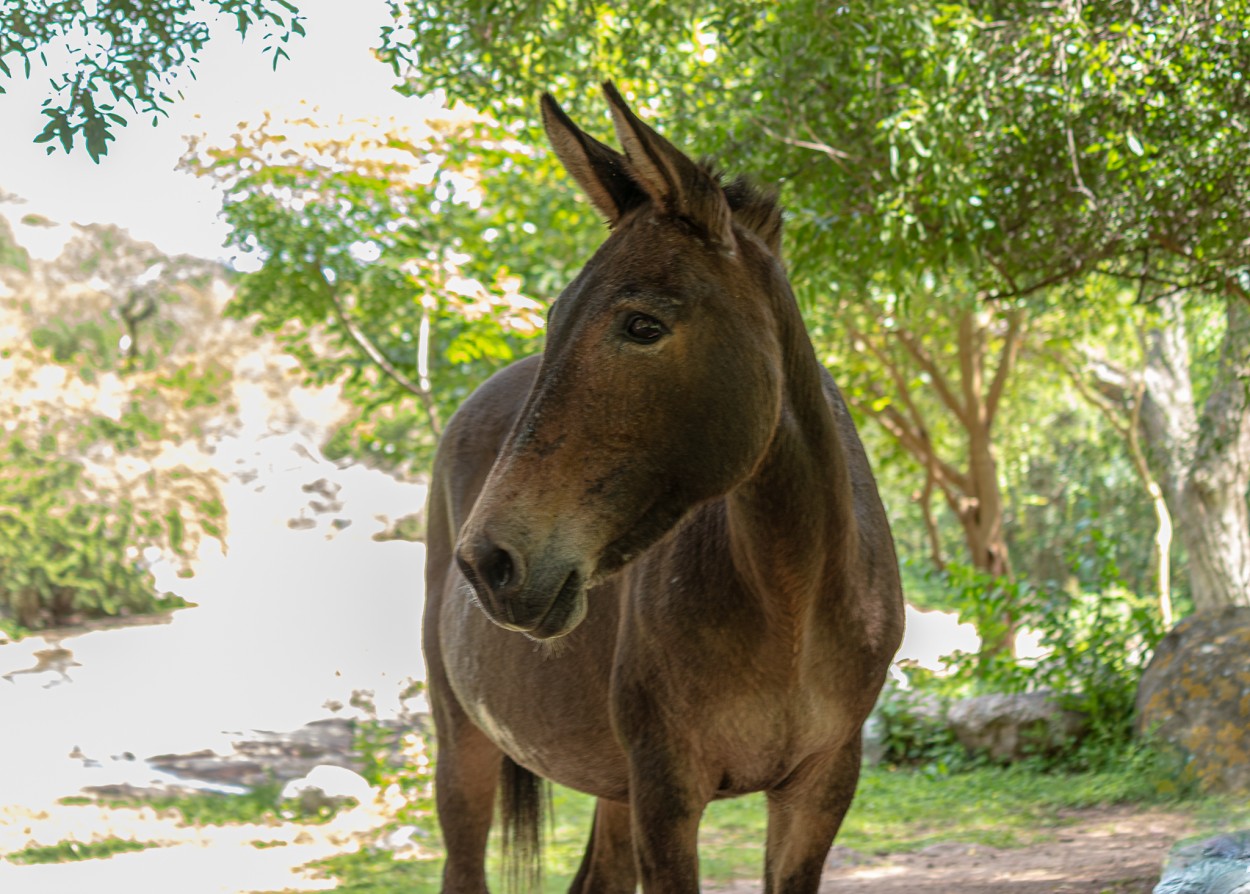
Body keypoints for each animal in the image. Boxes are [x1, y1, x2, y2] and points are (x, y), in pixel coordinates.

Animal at [425, 85, 905, 894]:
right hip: (464, 742)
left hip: (608, 784)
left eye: (642, 325)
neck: (792, 600)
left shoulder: (818, 792)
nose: (490, 564)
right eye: (554, 318)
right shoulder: (666, 794)